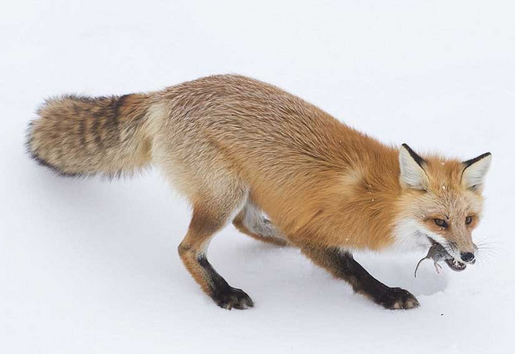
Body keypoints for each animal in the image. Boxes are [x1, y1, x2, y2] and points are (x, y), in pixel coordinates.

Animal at [27, 74, 492, 310]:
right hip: (223, 194)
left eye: (469, 220)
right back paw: (222, 293)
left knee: (245, 224)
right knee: (188, 247)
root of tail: (169, 93)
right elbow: (354, 269)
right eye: (439, 221)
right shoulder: (314, 231)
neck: (377, 200)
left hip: (242, 190)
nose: (470, 255)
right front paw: (386, 295)